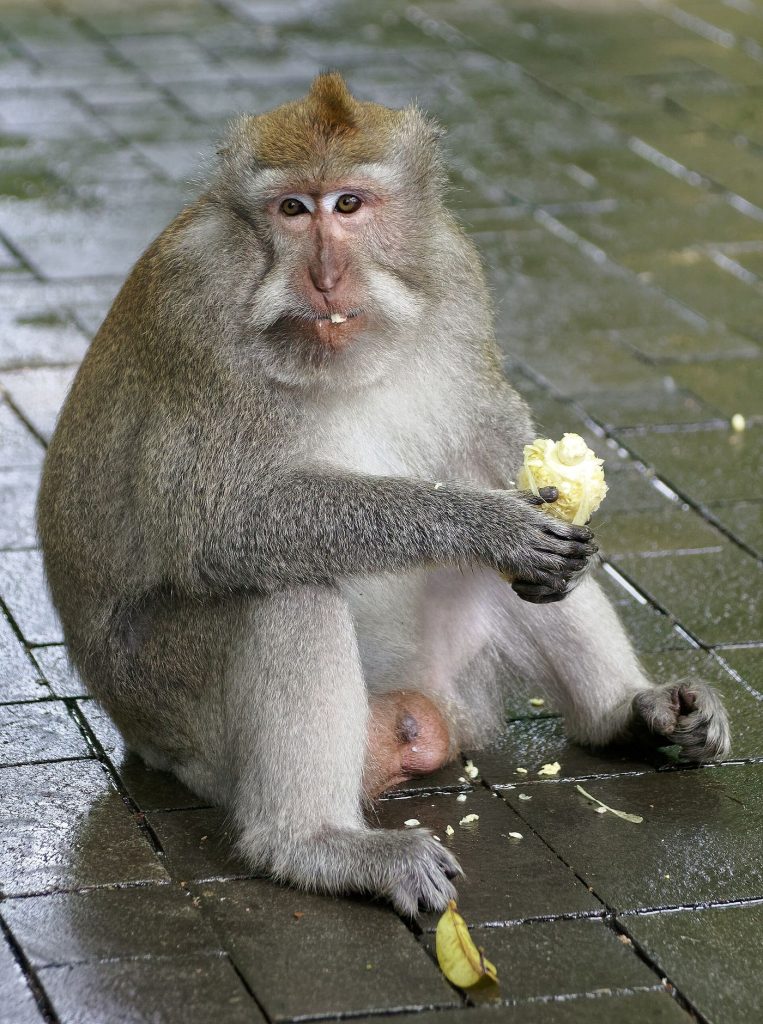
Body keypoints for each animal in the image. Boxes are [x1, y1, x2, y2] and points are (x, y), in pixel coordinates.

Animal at [37, 73, 730, 916]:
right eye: (291, 209)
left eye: (348, 205)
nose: (324, 276)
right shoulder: (194, 307)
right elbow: (224, 520)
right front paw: (485, 523)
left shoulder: (454, 269)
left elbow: (486, 434)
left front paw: (544, 524)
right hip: (172, 717)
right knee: (284, 590)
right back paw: (313, 845)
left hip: (450, 675)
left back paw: (628, 715)